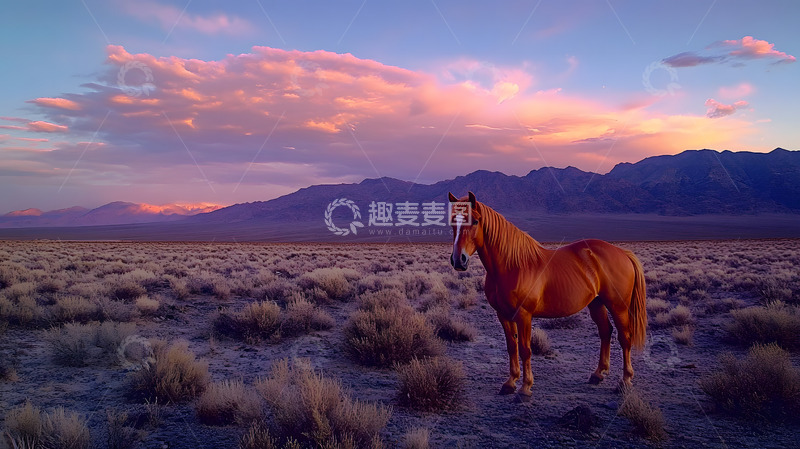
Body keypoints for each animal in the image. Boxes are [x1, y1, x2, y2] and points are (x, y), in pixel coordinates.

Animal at [448, 192, 647, 398]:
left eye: (475, 221)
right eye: (452, 221)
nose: (458, 260)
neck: (511, 266)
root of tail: (622, 252)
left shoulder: (524, 315)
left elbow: (525, 349)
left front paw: (525, 388)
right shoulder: (503, 315)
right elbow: (511, 346)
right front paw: (510, 383)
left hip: (618, 306)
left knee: (625, 338)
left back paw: (625, 380)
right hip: (596, 303)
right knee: (605, 332)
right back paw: (598, 374)